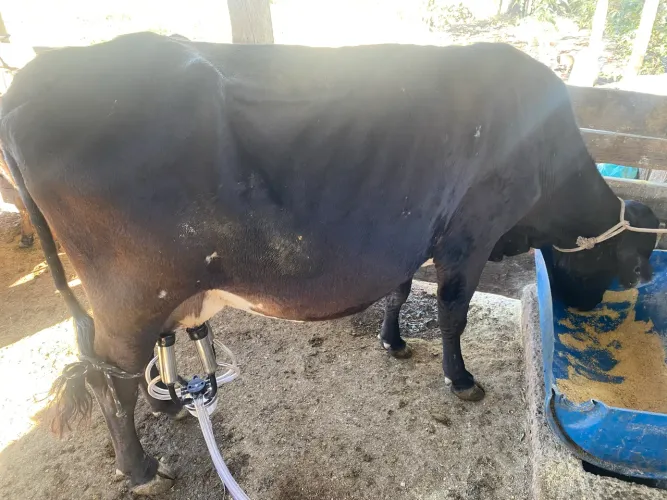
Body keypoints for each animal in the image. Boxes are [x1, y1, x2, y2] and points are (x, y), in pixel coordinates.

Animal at [0, 33, 658, 494]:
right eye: (627, 265)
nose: (583, 308)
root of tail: (32, 80)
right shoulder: (469, 235)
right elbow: (453, 314)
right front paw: (461, 379)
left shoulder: (410, 235)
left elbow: (399, 290)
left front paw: (394, 343)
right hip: (133, 291)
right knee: (108, 381)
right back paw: (142, 470)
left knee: (119, 363)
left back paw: (169, 403)